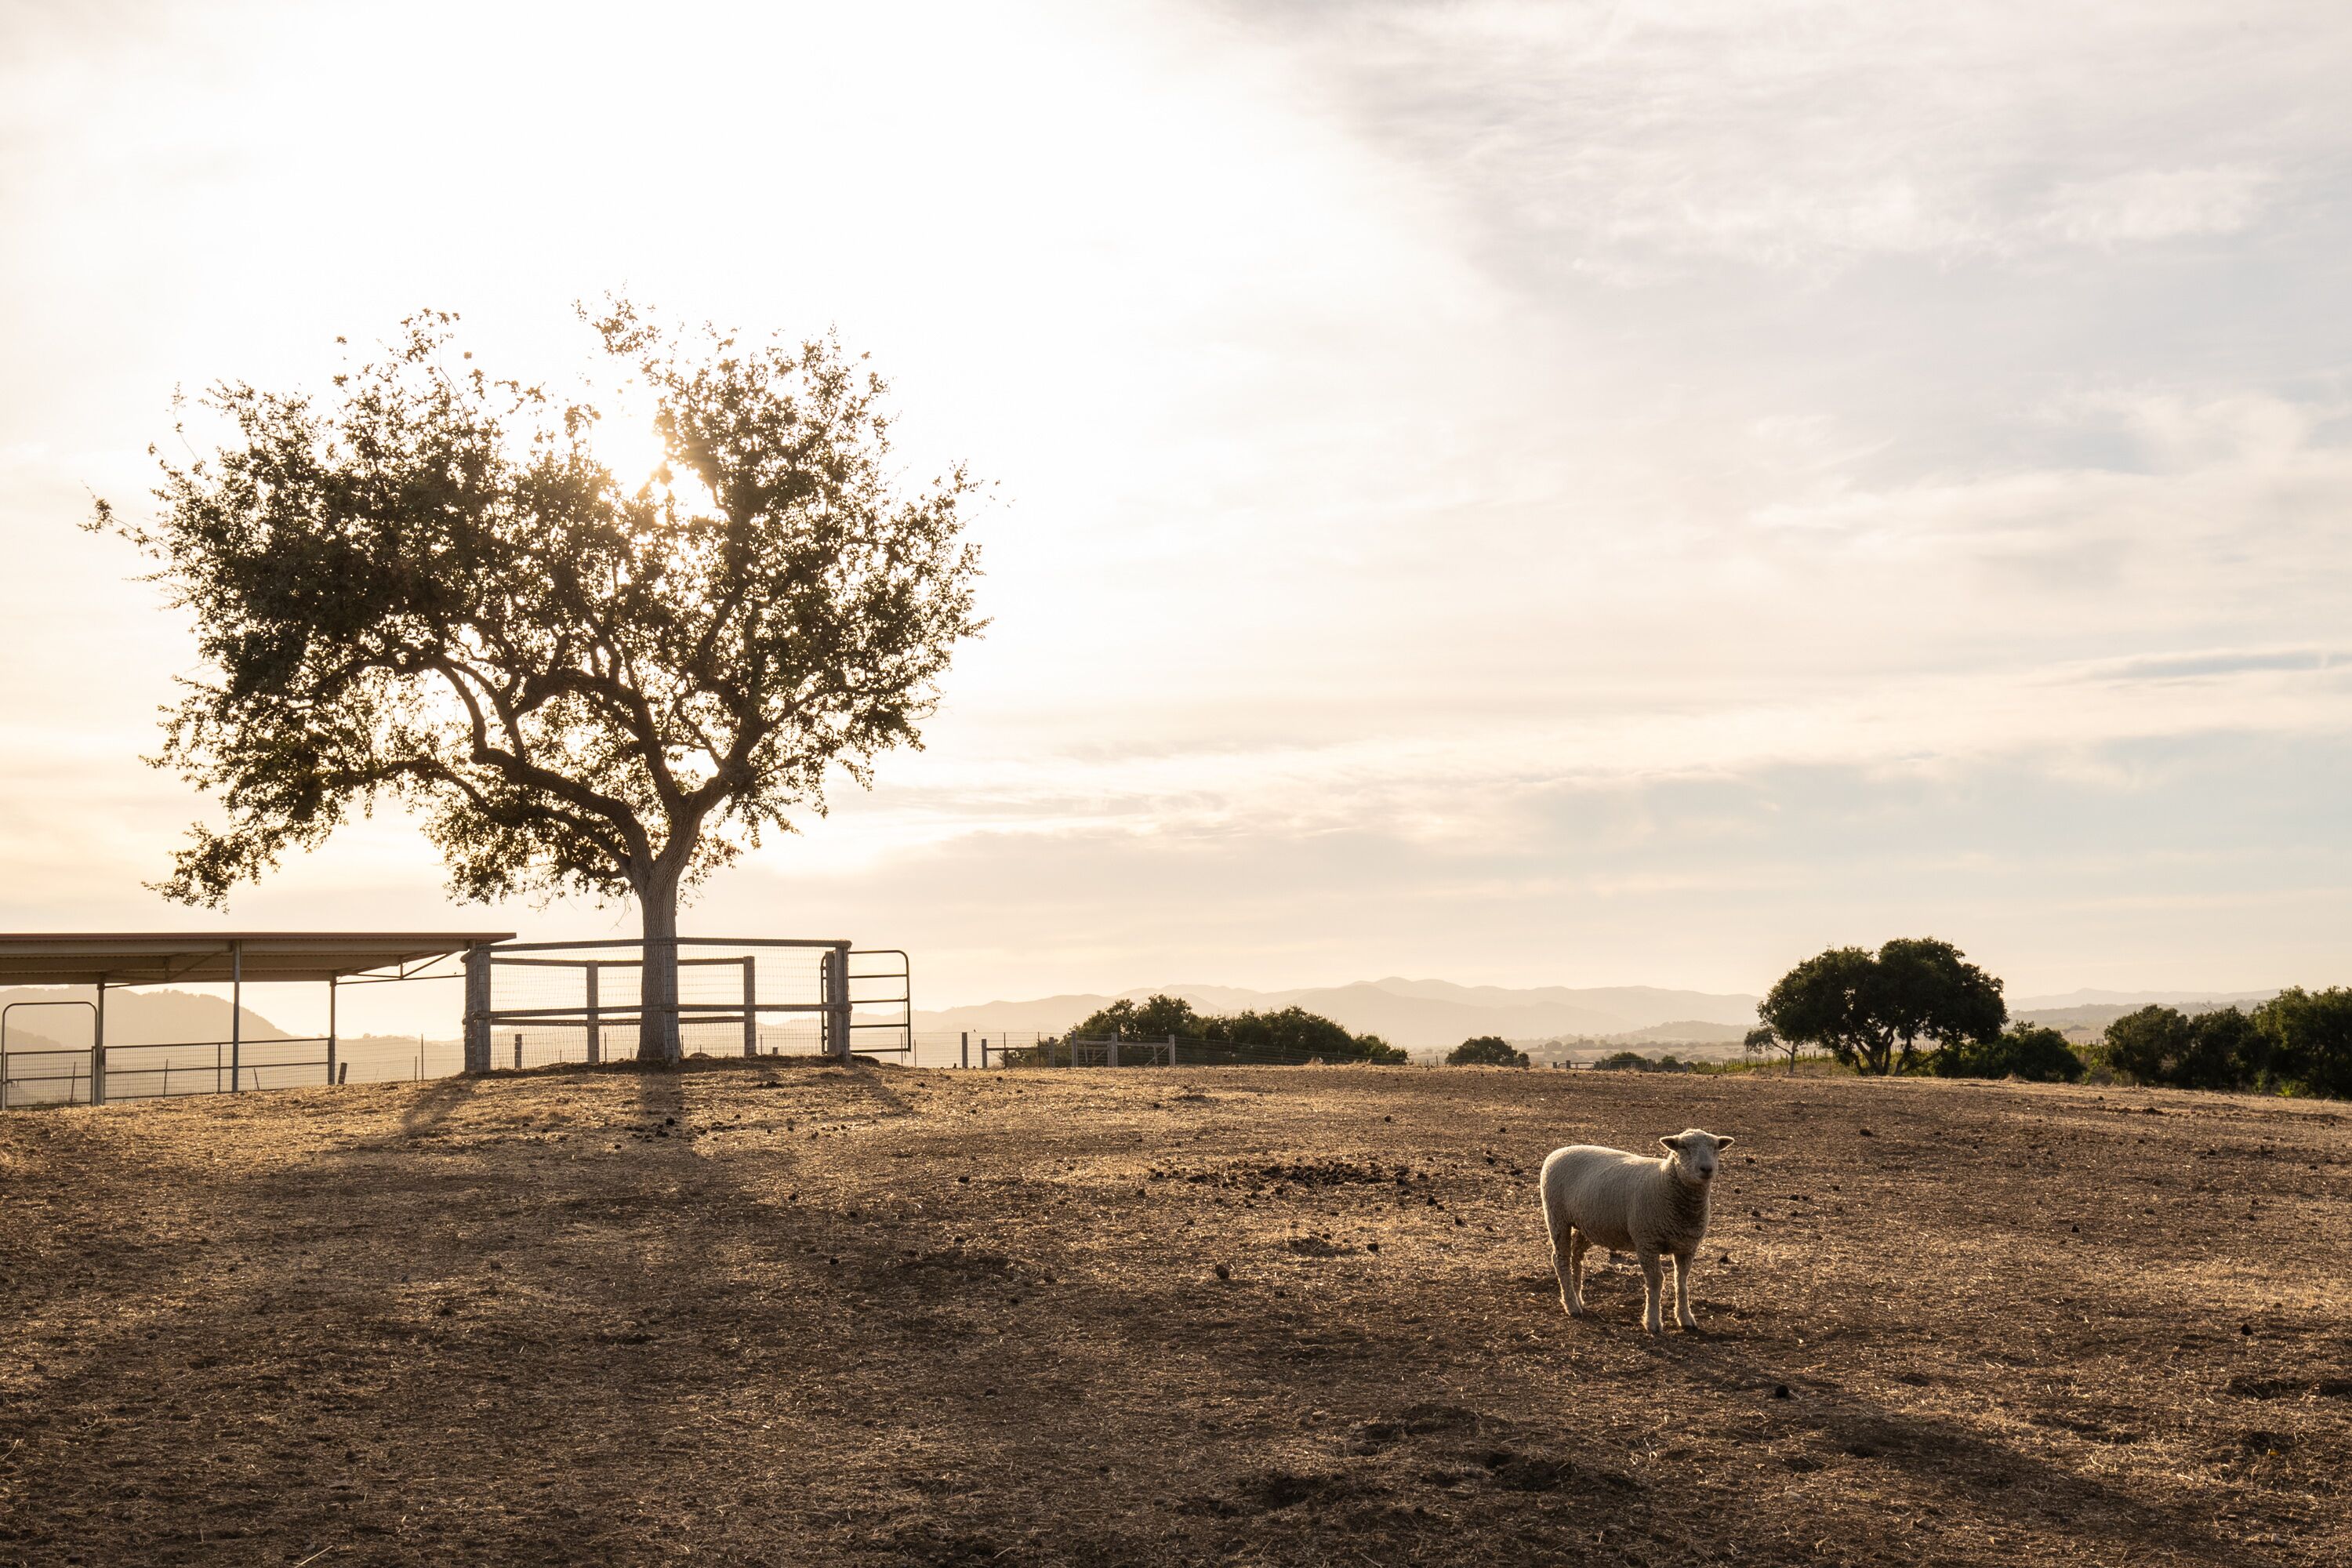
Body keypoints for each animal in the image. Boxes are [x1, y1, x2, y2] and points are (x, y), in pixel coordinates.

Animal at [1540, 1128, 1734, 1334]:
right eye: (1684, 1147)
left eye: (1715, 1148)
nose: (1707, 1169)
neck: (1664, 1182)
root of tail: (1558, 1151)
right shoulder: (1647, 1242)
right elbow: (1656, 1281)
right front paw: (1653, 1322)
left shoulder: (1687, 1246)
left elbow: (1681, 1282)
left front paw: (1685, 1318)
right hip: (1557, 1216)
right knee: (1561, 1259)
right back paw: (1571, 1305)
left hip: (1587, 1224)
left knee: (1576, 1256)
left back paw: (1578, 1298)